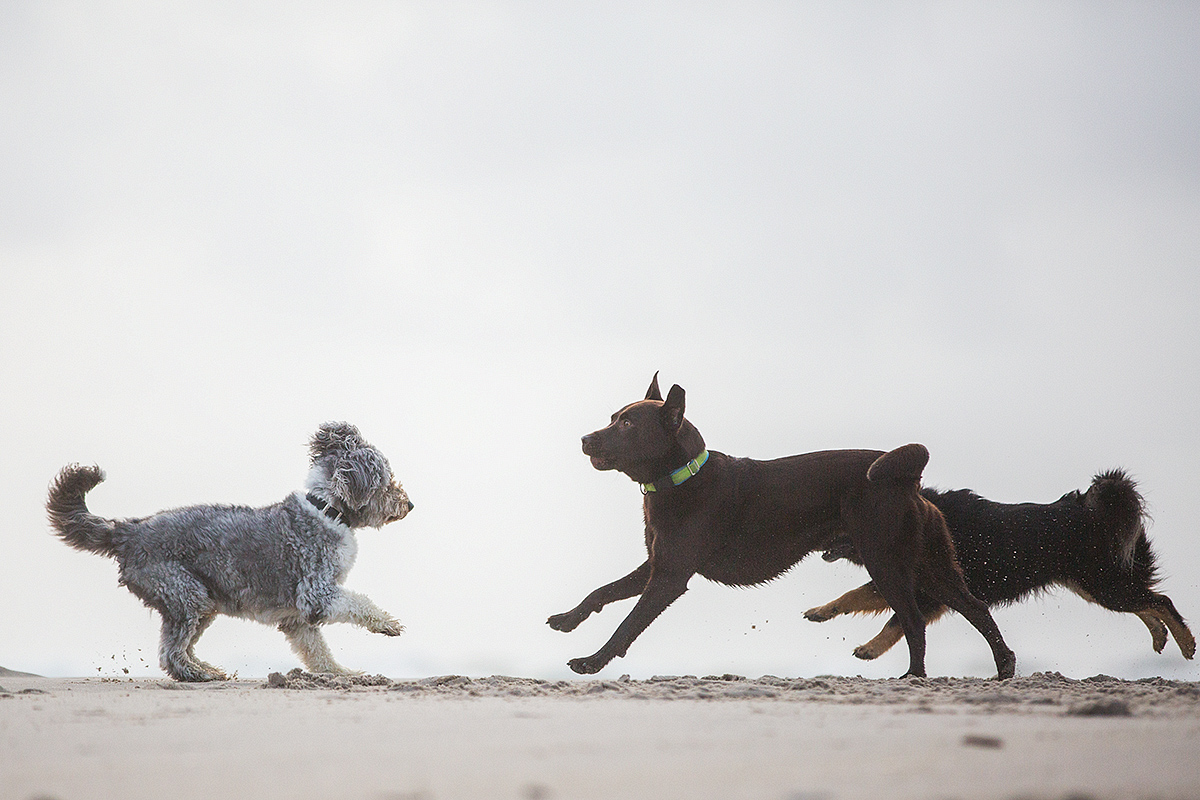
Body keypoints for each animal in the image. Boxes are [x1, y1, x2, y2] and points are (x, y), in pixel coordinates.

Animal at [549, 371, 1017, 681]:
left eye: (628, 424)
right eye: (613, 417)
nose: (585, 440)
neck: (683, 476)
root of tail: (908, 481)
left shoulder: (669, 577)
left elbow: (627, 624)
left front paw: (592, 661)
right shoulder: (654, 565)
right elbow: (602, 592)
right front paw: (568, 620)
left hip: (887, 561)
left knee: (915, 619)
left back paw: (914, 676)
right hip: (930, 563)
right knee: (975, 607)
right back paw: (1003, 666)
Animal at [806, 470, 1190, 662]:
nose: (811, 538)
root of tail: (1093, 510)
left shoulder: (931, 594)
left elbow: (888, 618)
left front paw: (868, 646)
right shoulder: (919, 588)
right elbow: (861, 600)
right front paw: (825, 613)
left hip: (1103, 585)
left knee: (1160, 601)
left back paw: (1186, 643)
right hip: (1094, 586)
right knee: (1147, 602)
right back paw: (1160, 636)